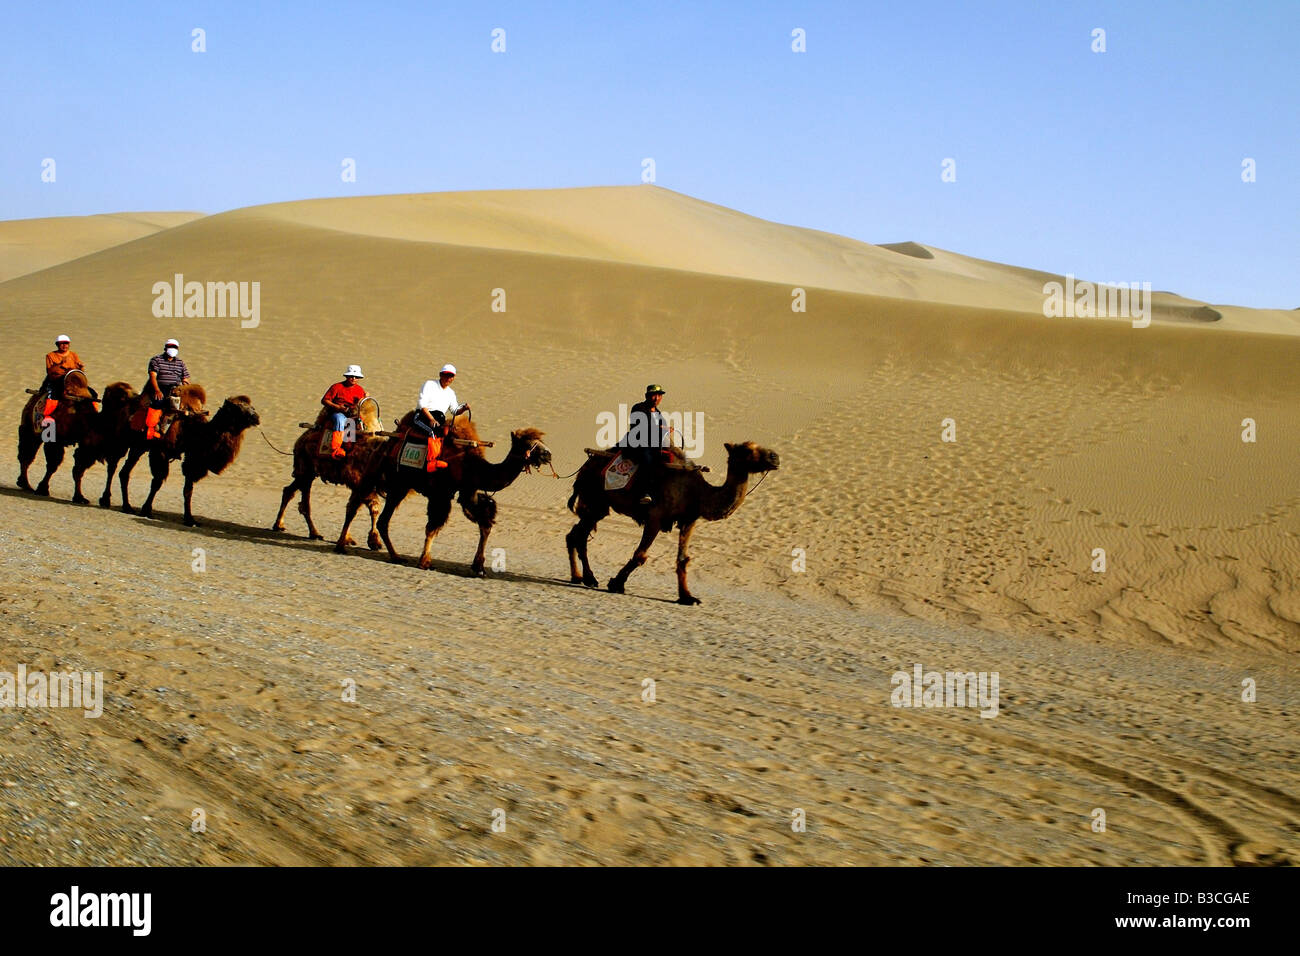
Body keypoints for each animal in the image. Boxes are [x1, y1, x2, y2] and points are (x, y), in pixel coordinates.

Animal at [271, 395, 387, 546]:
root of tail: (300, 439)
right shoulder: (358, 481)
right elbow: (371, 508)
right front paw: (374, 541)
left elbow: (359, 508)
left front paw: (349, 539)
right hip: (305, 469)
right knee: (304, 503)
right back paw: (313, 532)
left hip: (308, 472)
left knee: (289, 491)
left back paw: (281, 525)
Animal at [335, 413, 548, 574]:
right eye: (527, 443)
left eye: (540, 441)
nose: (548, 454)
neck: (470, 464)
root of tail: (384, 441)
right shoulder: (441, 493)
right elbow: (433, 527)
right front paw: (425, 561)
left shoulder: (468, 492)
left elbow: (485, 523)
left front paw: (479, 566)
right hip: (377, 476)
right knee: (355, 507)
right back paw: (341, 546)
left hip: (399, 487)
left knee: (381, 519)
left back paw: (395, 556)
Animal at [564, 442, 774, 606]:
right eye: (748, 450)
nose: (775, 457)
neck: (698, 493)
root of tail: (586, 465)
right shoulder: (655, 517)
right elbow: (640, 555)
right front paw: (616, 583)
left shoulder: (689, 521)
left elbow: (683, 559)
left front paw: (687, 597)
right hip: (595, 500)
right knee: (580, 536)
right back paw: (589, 578)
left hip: (597, 506)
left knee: (574, 534)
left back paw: (578, 577)